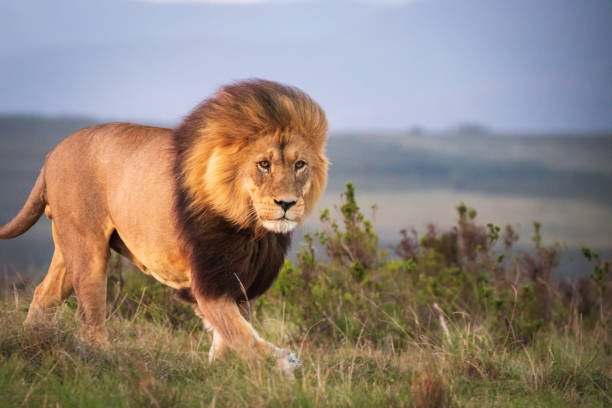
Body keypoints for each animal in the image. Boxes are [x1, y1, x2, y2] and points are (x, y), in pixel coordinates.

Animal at [0, 79, 328, 372]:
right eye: (263, 164)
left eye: (300, 165)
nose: (286, 204)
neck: (252, 229)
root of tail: (52, 154)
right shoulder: (209, 282)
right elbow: (238, 332)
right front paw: (283, 363)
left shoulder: (243, 280)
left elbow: (230, 333)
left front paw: (218, 368)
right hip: (88, 249)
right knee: (91, 321)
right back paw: (105, 361)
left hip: (68, 248)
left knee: (43, 294)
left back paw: (32, 344)